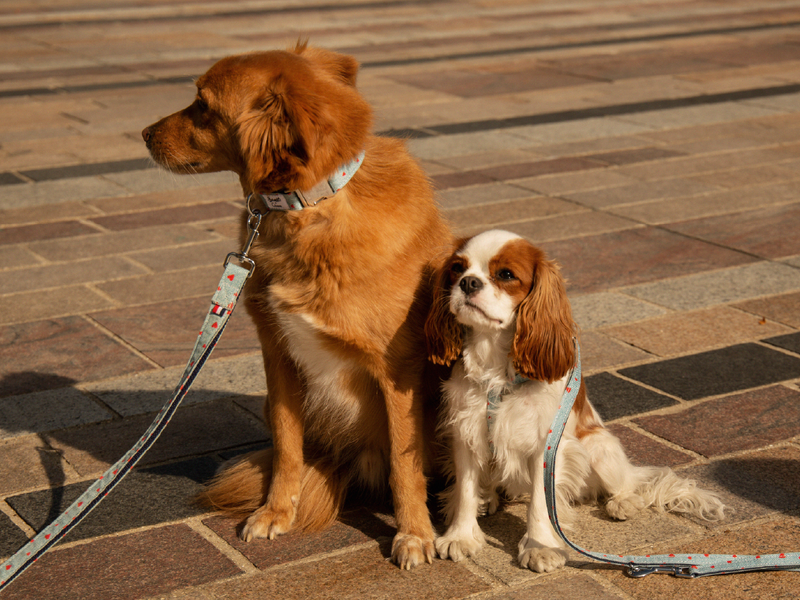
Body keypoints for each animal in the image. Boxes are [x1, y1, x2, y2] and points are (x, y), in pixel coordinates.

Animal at [142, 42, 450, 568]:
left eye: (202, 105)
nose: (143, 134)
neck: (307, 208)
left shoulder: (398, 373)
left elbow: (405, 465)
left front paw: (414, 534)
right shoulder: (279, 356)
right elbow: (287, 445)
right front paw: (275, 511)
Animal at [424, 229, 724, 572]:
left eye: (506, 275)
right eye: (457, 269)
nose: (468, 282)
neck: (496, 371)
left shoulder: (545, 445)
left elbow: (540, 504)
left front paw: (540, 547)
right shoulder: (466, 431)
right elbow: (465, 490)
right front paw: (461, 536)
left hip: (599, 447)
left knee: (625, 483)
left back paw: (623, 502)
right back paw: (489, 497)